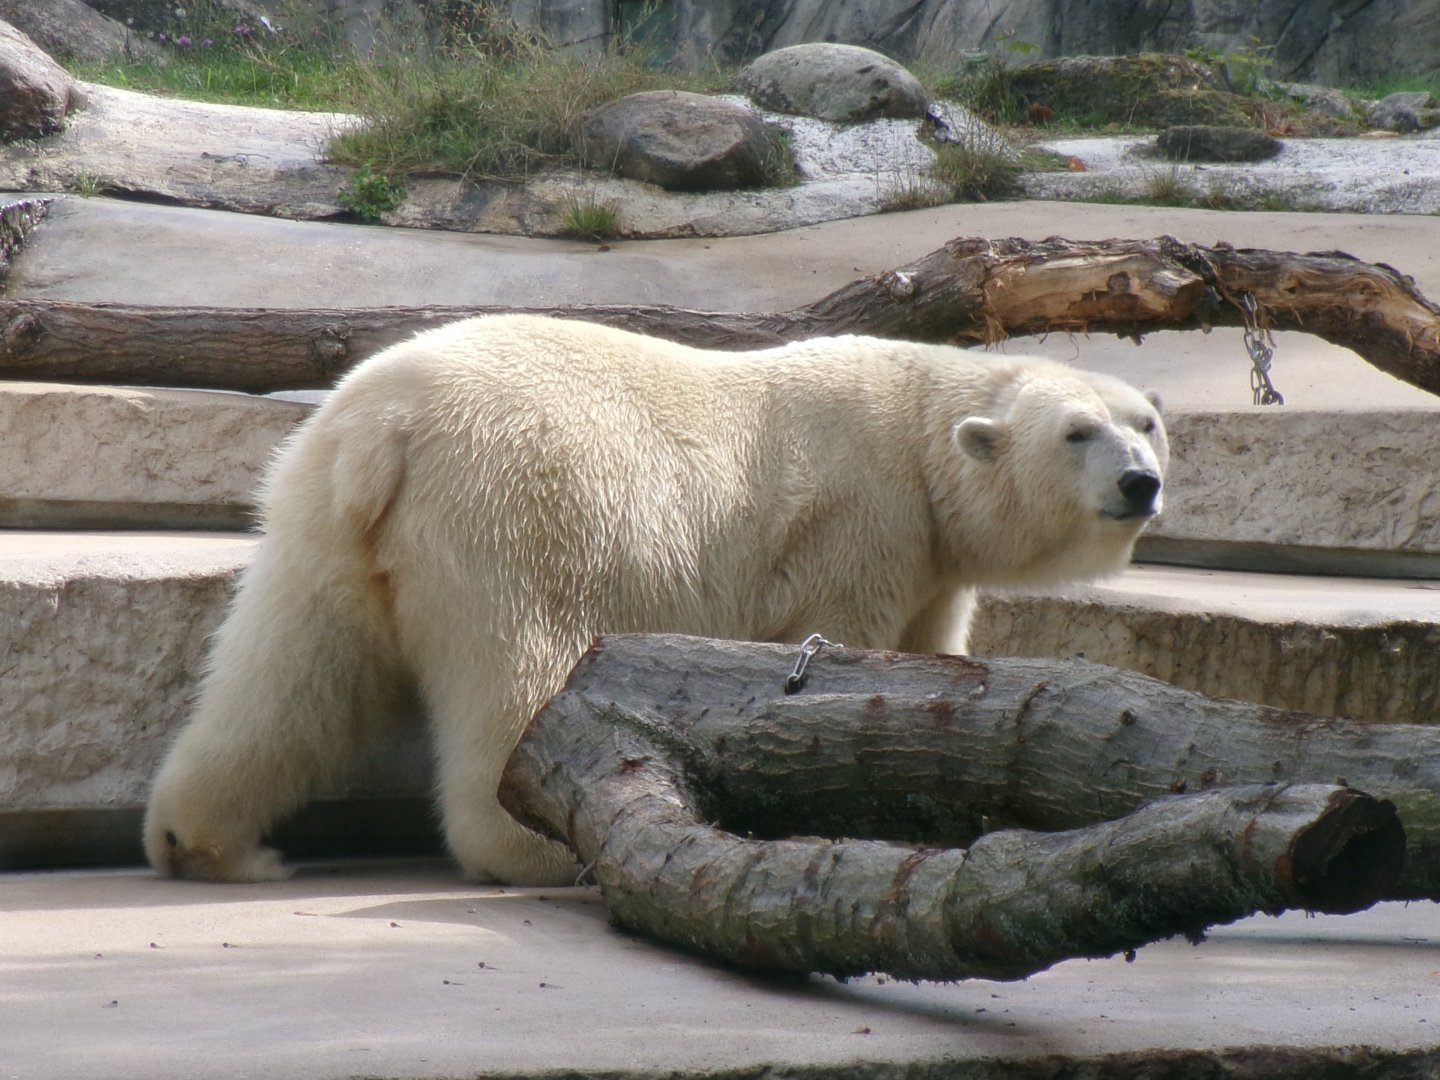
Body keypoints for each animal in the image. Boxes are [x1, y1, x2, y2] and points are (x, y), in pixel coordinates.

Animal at [144, 313, 1167, 887]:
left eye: (1147, 422)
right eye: (1077, 433)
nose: (1141, 483)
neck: (918, 435)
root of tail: (384, 429)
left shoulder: (928, 555)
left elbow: (926, 655)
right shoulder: (858, 521)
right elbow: (836, 650)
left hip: (324, 517)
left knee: (290, 671)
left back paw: (208, 842)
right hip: (520, 509)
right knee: (522, 673)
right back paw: (541, 851)